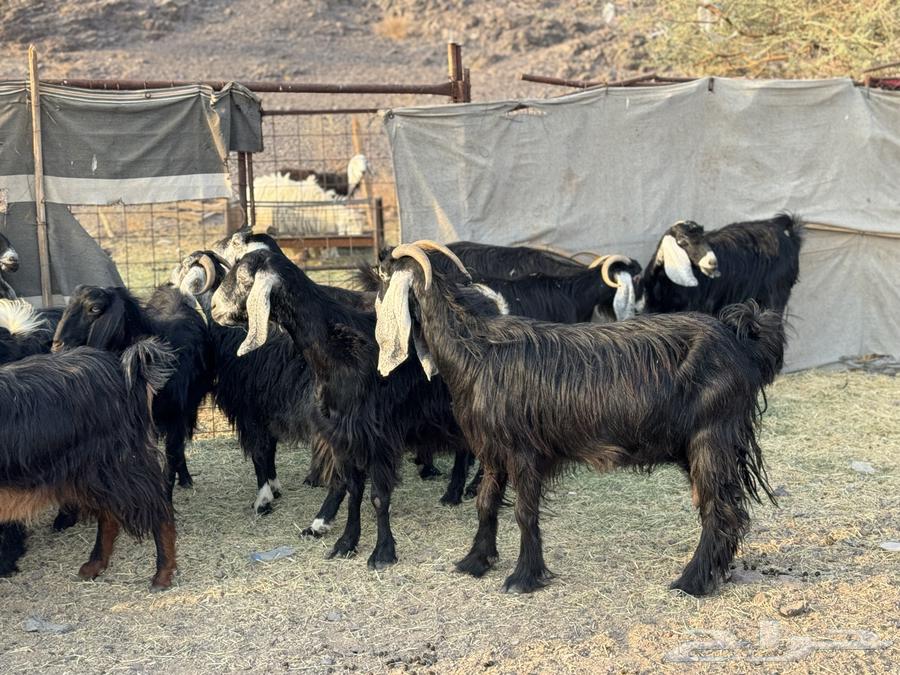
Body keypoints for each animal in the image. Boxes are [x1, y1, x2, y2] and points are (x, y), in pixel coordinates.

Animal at [0, 338, 178, 590]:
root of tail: (123, 370)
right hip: (91, 473)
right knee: (109, 516)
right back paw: (95, 565)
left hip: (120, 465)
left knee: (160, 510)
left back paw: (162, 574)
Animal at [209, 249, 493, 569]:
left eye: (245, 277)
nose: (214, 307)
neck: (336, 348)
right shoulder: (344, 436)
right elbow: (353, 490)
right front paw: (346, 543)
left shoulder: (378, 437)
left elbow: (378, 497)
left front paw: (382, 553)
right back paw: (458, 491)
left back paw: (468, 490)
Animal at [376, 241, 783, 596]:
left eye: (385, 272)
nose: (380, 254)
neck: (476, 348)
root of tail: (740, 339)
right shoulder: (492, 452)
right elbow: (486, 504)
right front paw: (476, 561)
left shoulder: (524, 452)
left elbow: (524, 513)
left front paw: (523, 578)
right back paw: (714, 573)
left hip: (711, 437)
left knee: (719, 510)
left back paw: (692, 582)